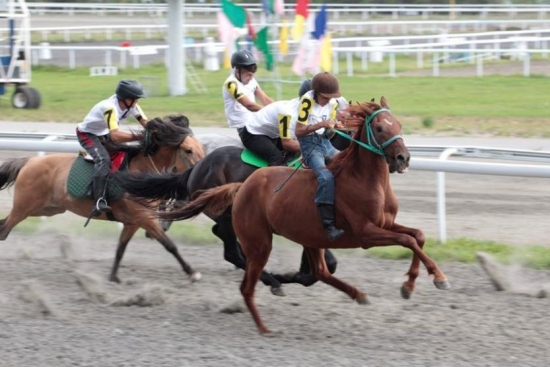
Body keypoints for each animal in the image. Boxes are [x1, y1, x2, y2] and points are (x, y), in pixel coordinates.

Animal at [0, 116, 206, 284]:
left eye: (201, 147)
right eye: (188, 150)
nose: (203, 169)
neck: (141, 171)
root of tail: (29, 162)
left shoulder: (133, 222)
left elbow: (120, 249)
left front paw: (113, 277)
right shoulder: (144, 218)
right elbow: (169, 244)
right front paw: (192, 273)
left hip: (46, 209)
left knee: (4, 224)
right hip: (24, 207)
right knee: (4, 229)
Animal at [117, 146, 336, 296]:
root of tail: (197, 166)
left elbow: (327, 263)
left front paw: (296, 275)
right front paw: (289, 276)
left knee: (223, 237)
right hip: (224, 212)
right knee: (231, 252)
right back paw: (272, 281)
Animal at [154, 98, 452, 336]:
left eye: (399, 124)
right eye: (379, 128)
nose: (403, 158)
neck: (361, 178)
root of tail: (199, 165)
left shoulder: (384, 224)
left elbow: (417, 236)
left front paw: (411, 284)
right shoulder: (366, 232)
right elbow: (407, 241)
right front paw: (436, 278)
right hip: (243, 225)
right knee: (233, 251)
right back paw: (272, 284)